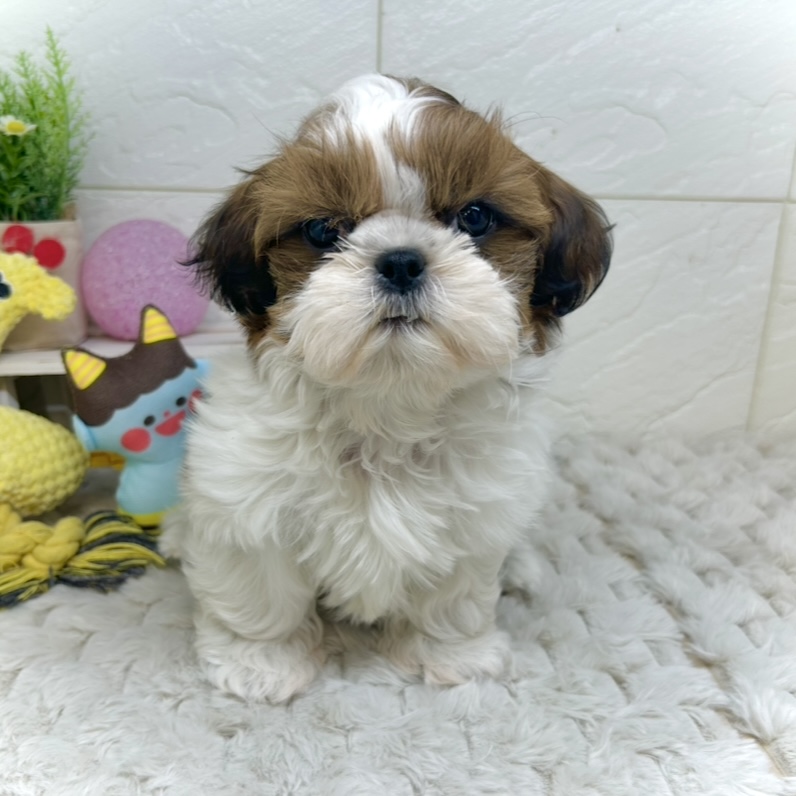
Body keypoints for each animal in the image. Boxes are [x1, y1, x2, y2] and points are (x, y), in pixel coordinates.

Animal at [172, 74, 611, 703]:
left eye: (474, 218)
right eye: (323, 231)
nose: (400, 260)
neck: (387, 407)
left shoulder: (472, 521)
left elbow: (452, 598)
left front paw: (451, 654)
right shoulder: (246, 504)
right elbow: (261, 595)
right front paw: (261, 662)